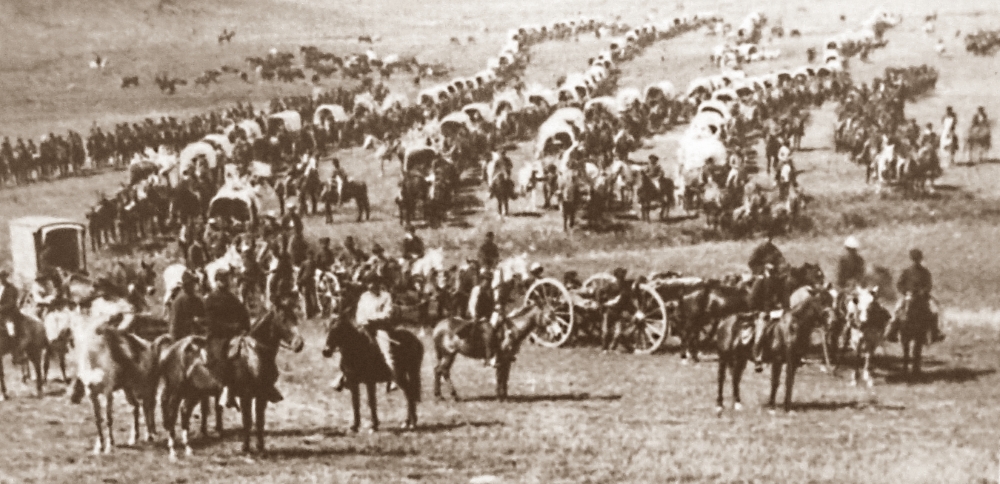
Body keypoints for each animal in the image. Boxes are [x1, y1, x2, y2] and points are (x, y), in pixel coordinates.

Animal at [229, 304, 302, 452]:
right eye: (283, 319)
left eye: (296, 317)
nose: (299, 344)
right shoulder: (246, 395)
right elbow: (247, 420)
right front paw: (245, 447)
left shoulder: (262, 395)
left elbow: (260, 420)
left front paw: (260, 446)